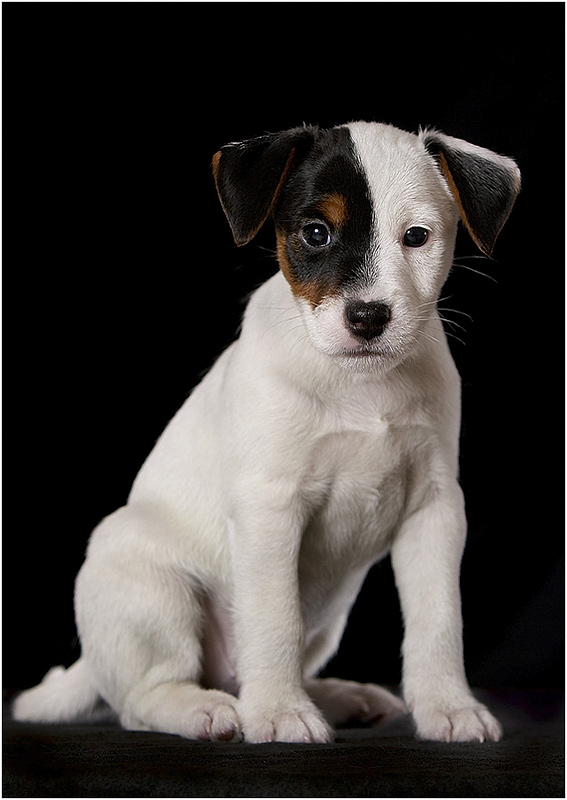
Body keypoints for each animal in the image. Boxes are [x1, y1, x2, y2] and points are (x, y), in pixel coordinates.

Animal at [13, 120, 520, 744]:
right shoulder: (271, 508)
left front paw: (448, 706)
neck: (359, 384)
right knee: (144, 697)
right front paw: (279, 713)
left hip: (326, 623)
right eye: (316, 233)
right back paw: (209, 709)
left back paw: (334, 696)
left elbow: (439, 620)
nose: (368, 317)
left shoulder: (436, 509)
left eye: (417, 237)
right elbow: (275, 618)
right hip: (150, 587)